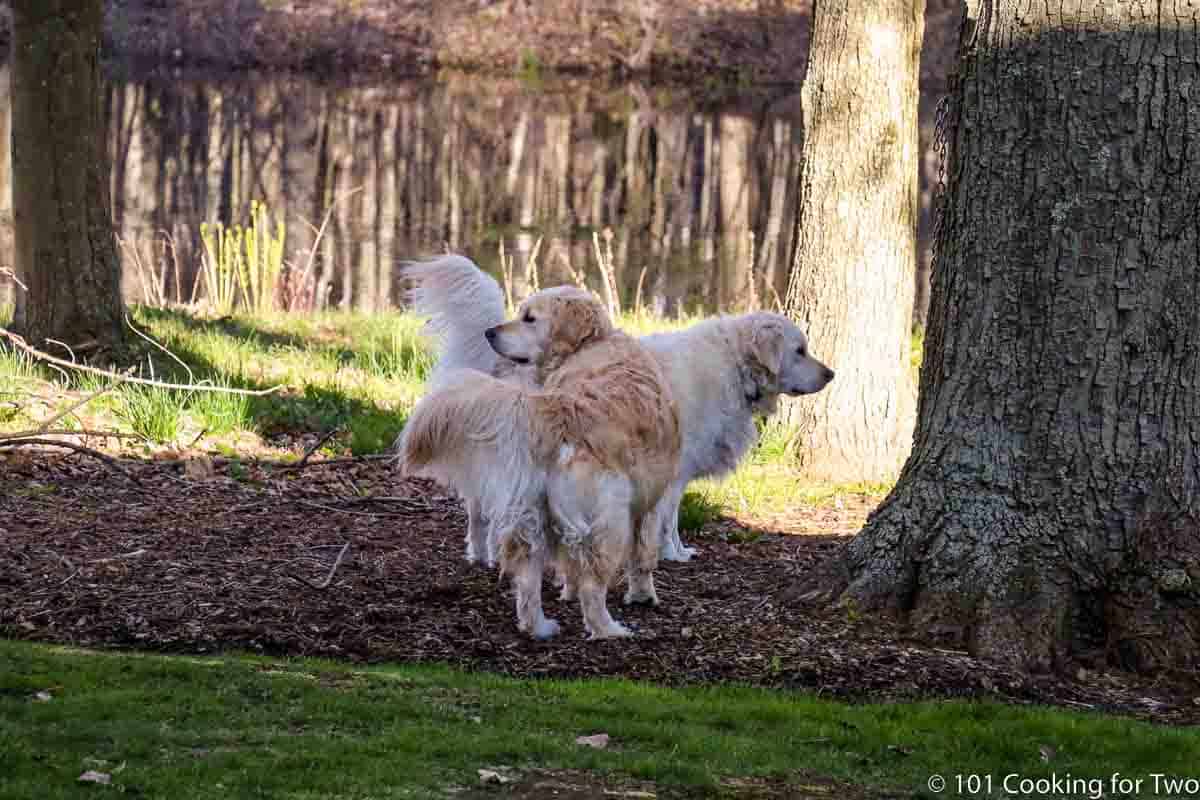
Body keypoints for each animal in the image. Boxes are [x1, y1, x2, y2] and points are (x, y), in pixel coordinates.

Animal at [393, 284, 676, 642]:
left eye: (529, 318)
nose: (489, 332)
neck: (591, 345)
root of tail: (561, 410)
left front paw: (566, 591)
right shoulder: (652, 501)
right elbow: (642, 556)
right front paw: (643, 596)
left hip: (530, 513)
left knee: (527, 579)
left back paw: (538, 627)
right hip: (608, 521)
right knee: (592, 584)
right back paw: (608, 629)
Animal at [405, 256, 835, 563]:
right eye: (801, 350)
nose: (831, 374)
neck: (734, 364)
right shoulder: (676, 466)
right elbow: (669, 518)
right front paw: (673, 553)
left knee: (480, 506)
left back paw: (483, 554)